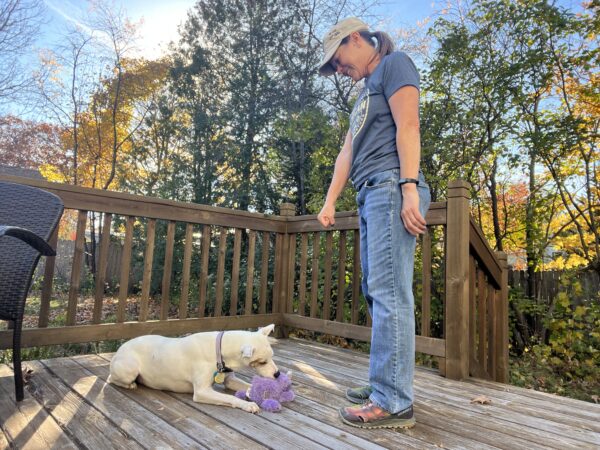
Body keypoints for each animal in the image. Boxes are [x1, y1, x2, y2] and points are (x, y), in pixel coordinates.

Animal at [107, 326, 278, 414]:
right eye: (262, 362)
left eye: (272, 356)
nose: (277, 374)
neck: (219, 349)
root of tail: (119, 349)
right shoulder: (202, 392)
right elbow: (229, 398)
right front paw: (247, 405)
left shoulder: (230, 380)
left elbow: (248, 386)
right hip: (130, 369)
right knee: (111, 379)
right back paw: (130, 385)